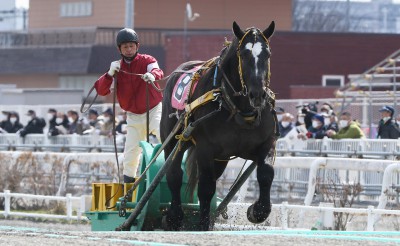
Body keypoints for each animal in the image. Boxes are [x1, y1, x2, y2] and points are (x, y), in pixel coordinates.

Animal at [161, 21, 276, 231]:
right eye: (243, 54)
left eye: (267, 54)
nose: (257, 94)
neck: (238, 110)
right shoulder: (205, 148)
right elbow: (206, 187)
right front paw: (203, 223)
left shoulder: (266, 142)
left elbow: (266, 173)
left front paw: (259, 210)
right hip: (174, 138)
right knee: (174, 173)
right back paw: (174, 216)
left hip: (221, 158)